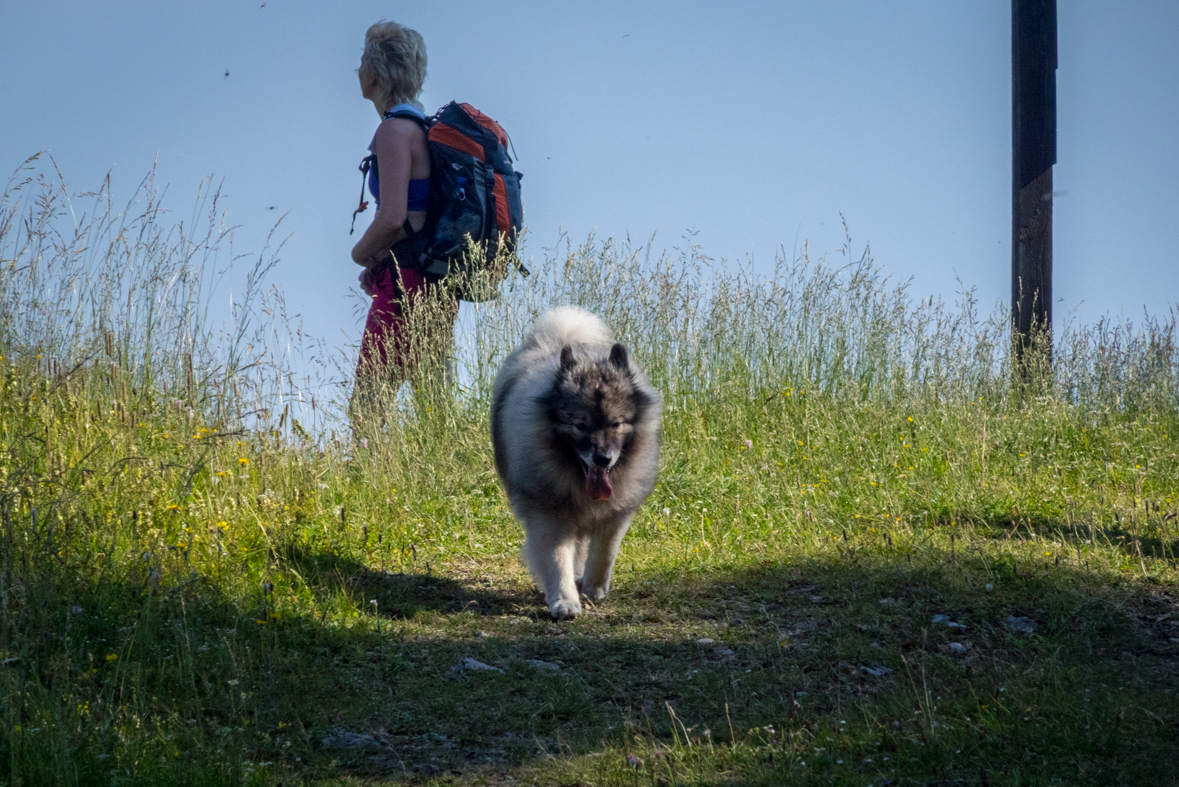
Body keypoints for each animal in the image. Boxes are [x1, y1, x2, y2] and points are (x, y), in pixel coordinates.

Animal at [490, 306, 664, 622]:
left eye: (616, 424)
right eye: (580, 426)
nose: (602, 458)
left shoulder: (615, 513)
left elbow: (605, 553)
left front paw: (594, 588)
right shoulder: (550, 515)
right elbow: (558, 559)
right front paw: (564, 600)